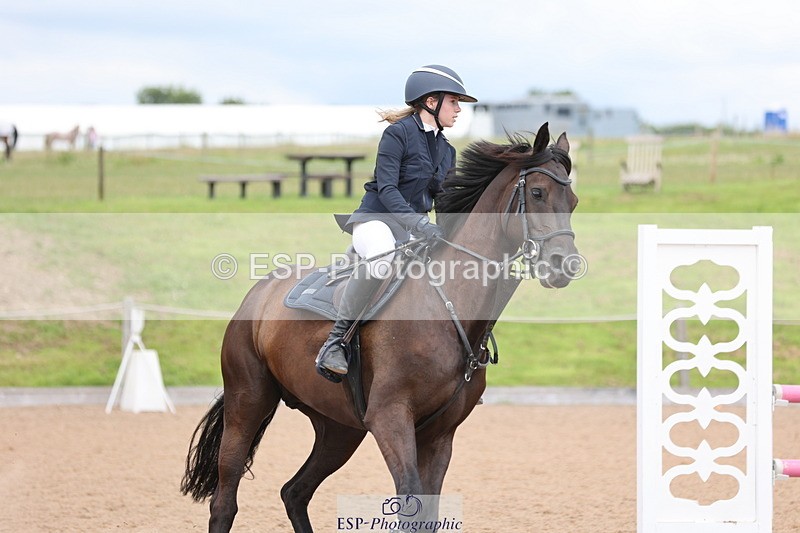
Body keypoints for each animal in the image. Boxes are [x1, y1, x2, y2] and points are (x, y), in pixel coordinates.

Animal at [181, 122, 581, 532]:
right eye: (537, 193)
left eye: (574, 201)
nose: (564, 265)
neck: (447, 306)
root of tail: (259, 293)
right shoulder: (390, 417)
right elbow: (409, 502)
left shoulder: (440, 434)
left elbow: (428, 512)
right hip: (247, 403)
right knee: (226, 499)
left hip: (340, 429)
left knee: (294, 492)